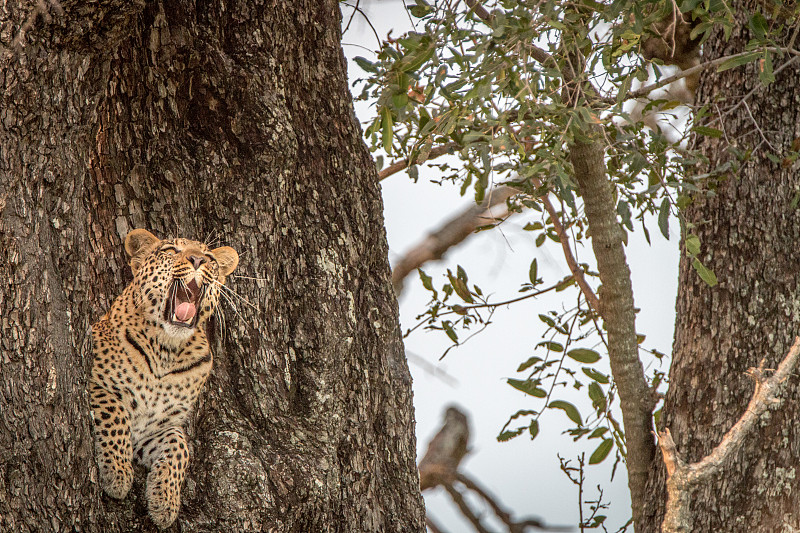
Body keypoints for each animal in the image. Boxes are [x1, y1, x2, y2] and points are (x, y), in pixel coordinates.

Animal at [89, 229, 238, 528]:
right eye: (170, 250)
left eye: (210, 257)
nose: (197, 260)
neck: (166, 350)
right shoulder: (95, 383)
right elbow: (115, 413)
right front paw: (117, 475)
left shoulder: (158, 426)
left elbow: (180, 446)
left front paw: (164, 502)